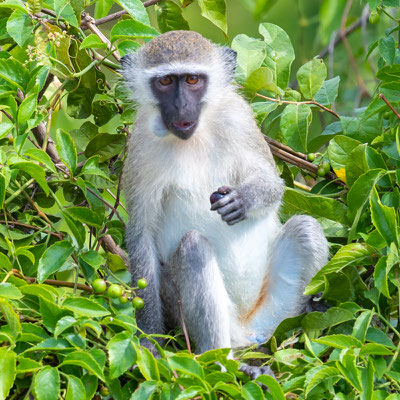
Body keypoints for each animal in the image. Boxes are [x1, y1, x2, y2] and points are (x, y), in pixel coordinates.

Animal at [121, 32, 328, 366]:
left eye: (193, 79)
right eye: (165, 81)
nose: (181, 106)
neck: (193, 137)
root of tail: (246, 333)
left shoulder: (238, 116)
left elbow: (273, 184)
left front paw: (244, 199)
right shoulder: (140, 144)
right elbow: (142, 236)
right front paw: (149, 341)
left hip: (273, 315)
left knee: (306, 229)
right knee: (192, 248)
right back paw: (225, 364)